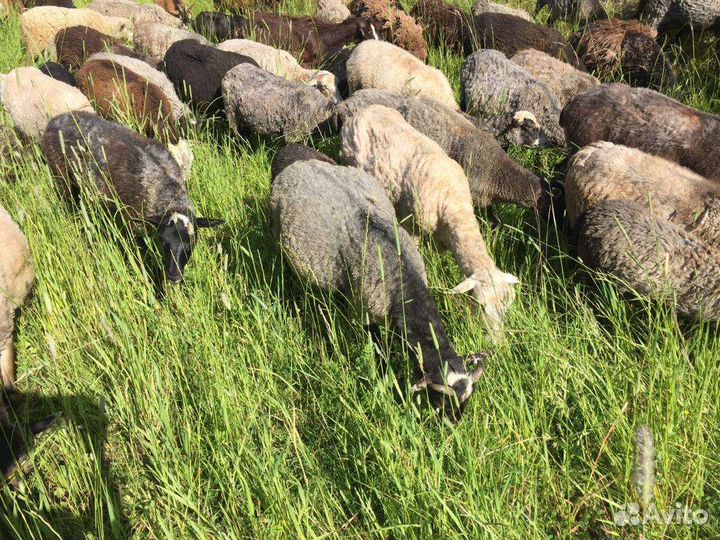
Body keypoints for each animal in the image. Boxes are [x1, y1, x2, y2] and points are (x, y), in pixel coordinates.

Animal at [42, 111, 222, 283]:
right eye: (163, 243)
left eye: (191, 243)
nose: (174, 277)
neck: (164, 186)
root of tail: (56, 119)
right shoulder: (133, 223)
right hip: (60, 175)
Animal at [270, 146, 486, 419]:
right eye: (441, 401)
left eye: (468, 399)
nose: (455, 423)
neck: (403, 284)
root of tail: (295, 160)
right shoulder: (365, 311)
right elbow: (377, 347)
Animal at [341, 105, 520, 332]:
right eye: (481, 306)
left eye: (507, 306)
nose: (496, 338)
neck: (455, 207)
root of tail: (363, 110)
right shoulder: (413, 224)